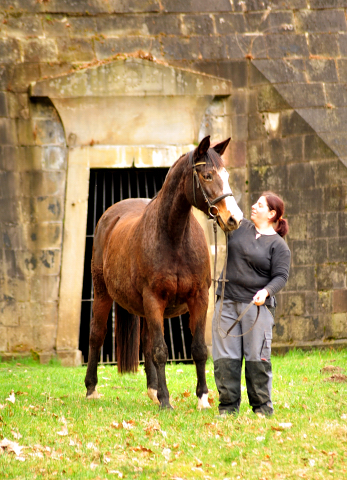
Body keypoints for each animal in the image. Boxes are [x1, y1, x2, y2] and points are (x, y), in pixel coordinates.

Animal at [84, 135, 243, 408]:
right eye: (207, 176)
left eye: (227, 175)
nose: (234, 218)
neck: (174, 238)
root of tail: (110, 216)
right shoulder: (153, 299)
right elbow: (160, 350)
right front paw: (167, 401)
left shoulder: (199, 298)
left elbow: (198, 349)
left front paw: (202, 399)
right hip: (103, 293)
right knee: (97, 334)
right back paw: (92, 389)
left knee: (147, 343)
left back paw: (153, 391)